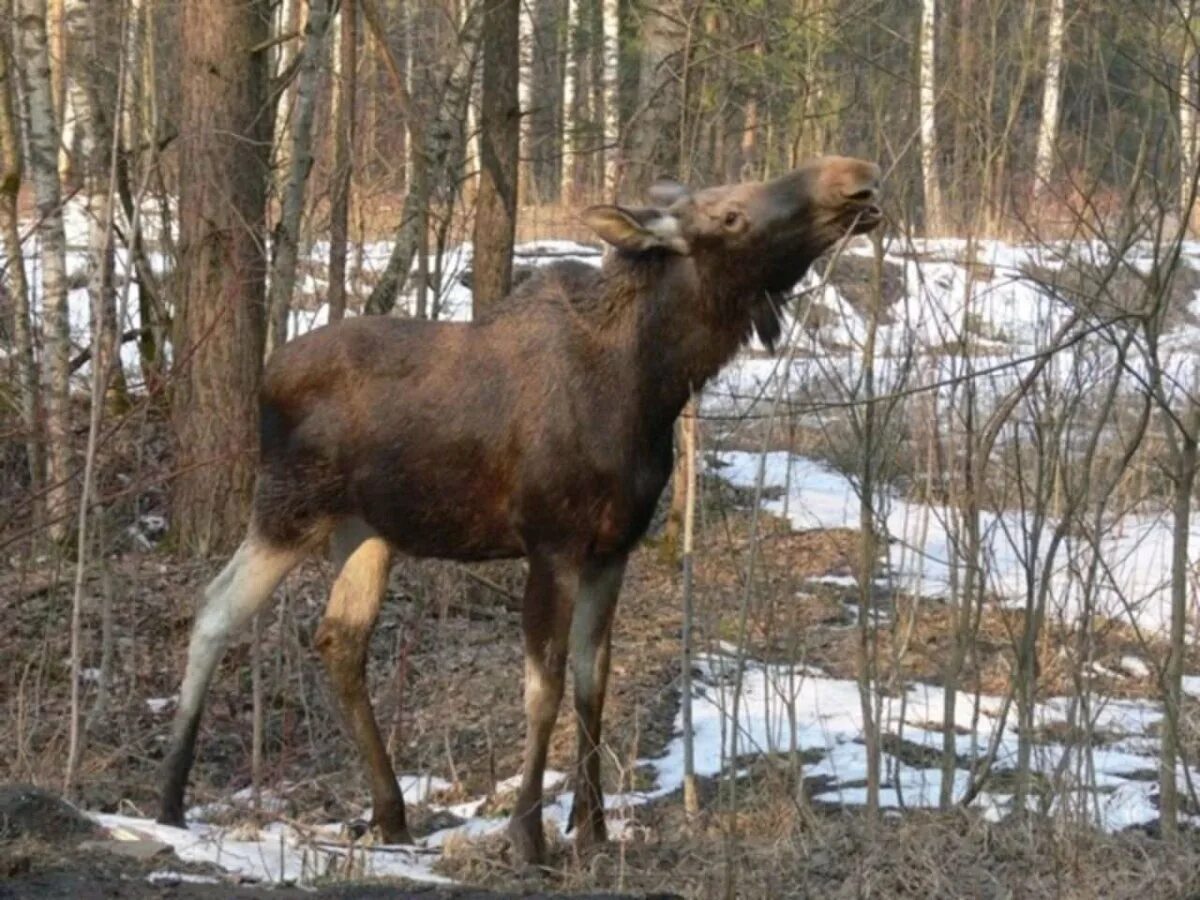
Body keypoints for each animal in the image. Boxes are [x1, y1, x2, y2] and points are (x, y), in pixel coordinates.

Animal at [159, 157, 883, 868]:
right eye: (730, 215)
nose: (854, 176)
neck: (651, 384)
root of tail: (265, 376)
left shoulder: (613, 550)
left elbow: (594, 681)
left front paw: (593, 830)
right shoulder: (552, 543)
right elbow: (545, 688)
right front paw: (529, 836)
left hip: (366, 531)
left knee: (339, 638)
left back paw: (390, 815)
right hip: (288, 508)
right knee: (214, 608)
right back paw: (170, 801)